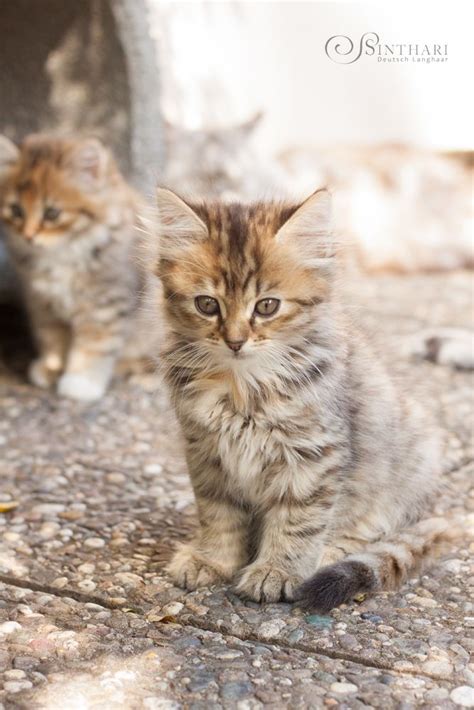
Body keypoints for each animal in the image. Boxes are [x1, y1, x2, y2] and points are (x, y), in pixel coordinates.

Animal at [0, 134, 143, 400]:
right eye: (16, 210)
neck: (62, 254)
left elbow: (94, 345)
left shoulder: (105, 303)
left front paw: (80, 382)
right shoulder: (41, 302)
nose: (28, 236)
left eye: (52, 213)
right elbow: (51, 337)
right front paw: (51, 367)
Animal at [150, 188, 446, 612]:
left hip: (413, 459)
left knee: (377, 527)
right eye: (207, 304)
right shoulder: (206, 452)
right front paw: (212, 559)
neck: (241, 386)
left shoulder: (312, 455)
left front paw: (276, 572)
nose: (235, 341)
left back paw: (330, 553)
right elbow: (218, 514)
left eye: (267, 306)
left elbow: (298, 522)